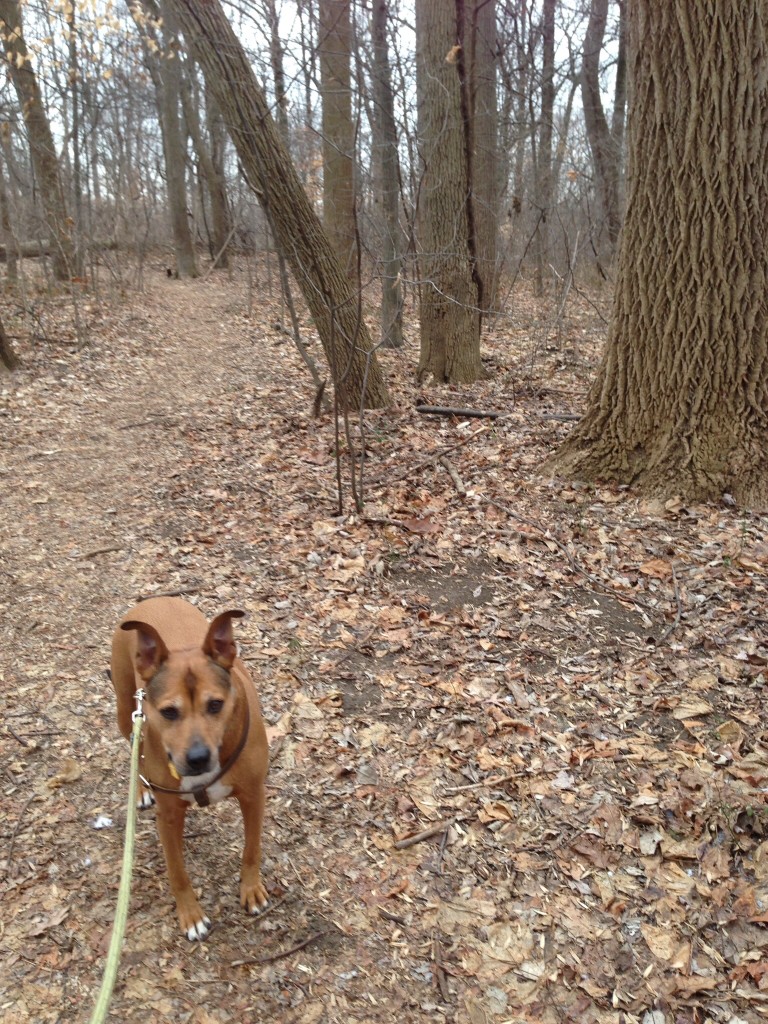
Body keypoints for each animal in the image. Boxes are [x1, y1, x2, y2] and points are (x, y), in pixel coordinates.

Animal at [109, 598, 268, 937]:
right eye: (169, 712)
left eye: (216, 705)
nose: (197, 758)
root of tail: (152, 599)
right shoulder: (168, 817)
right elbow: (177, 871)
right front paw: (191, 915)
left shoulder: (253, 796)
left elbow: (251, 849)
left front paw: (251, 889)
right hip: (126, 709)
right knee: (135, 747)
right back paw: (139, 789)